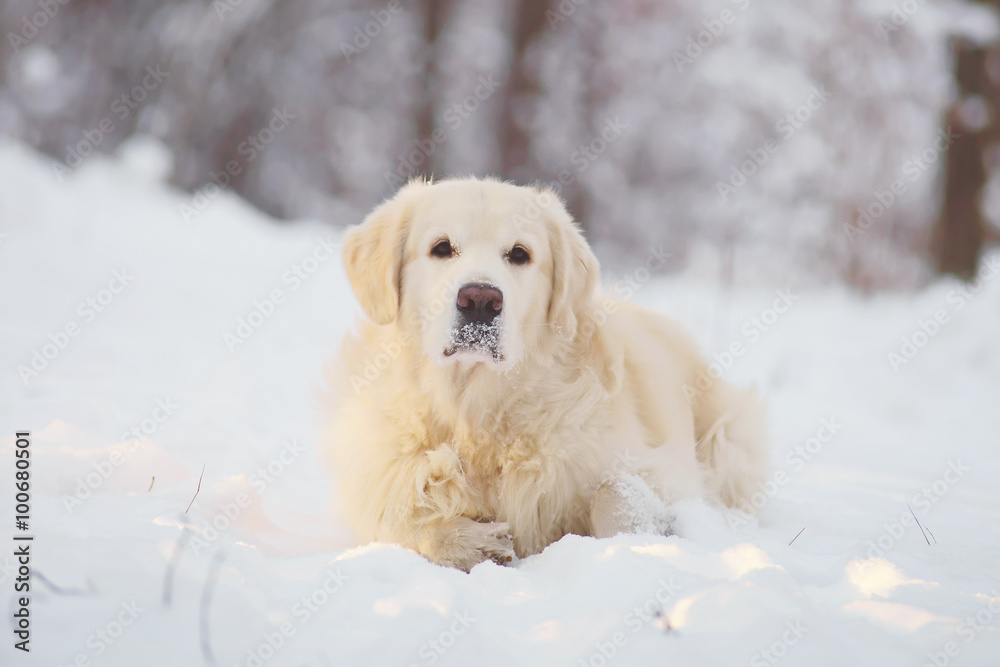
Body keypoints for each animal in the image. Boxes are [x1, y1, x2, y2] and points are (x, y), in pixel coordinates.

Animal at [320, 179, 764, 576]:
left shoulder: (667, 474)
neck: (478, 411)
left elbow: (613, 491)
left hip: (728, 439)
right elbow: (403, 519)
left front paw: (639, 541)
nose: (480, 300)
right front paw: (471, 543)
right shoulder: (380, 475)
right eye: (441, 248)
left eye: (519, 254)